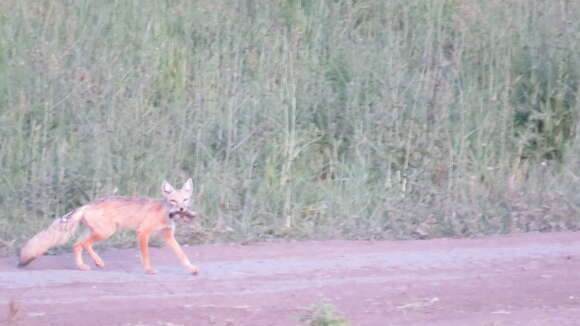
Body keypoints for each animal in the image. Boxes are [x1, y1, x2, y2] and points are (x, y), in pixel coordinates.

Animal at [18, 178, 199, 276]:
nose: (182, 209)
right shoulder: (142, 233)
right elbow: (146, 256)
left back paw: (86, 265)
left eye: (185, 200)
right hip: (106, 232)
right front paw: (148, 270)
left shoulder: (168, 235)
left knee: (78, 245)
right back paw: (93, 263)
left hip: (97, 232)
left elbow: (182, 255)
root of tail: (87, 205)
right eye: (173, 200)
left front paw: (192, 269)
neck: (164, 212)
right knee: (83, 244)